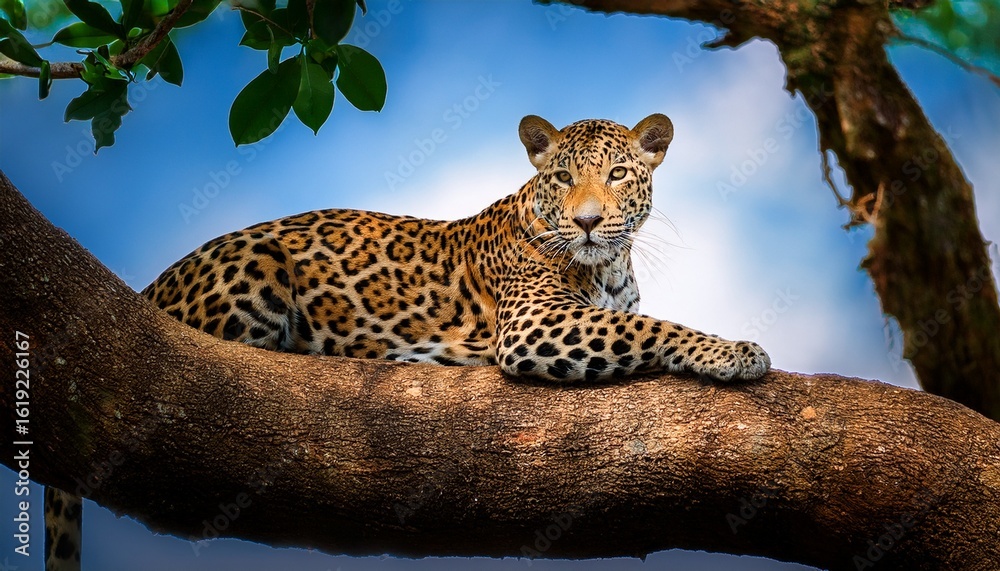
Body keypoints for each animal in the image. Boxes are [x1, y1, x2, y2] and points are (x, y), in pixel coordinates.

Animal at [44, 114, 769, 571]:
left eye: (618, 173)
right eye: (563, 178)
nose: (588, 222)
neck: (610, 263)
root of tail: (144, 290)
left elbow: (639, 319)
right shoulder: (535, 323)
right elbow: (651, 326)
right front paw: (736, 351)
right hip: (256, 265)